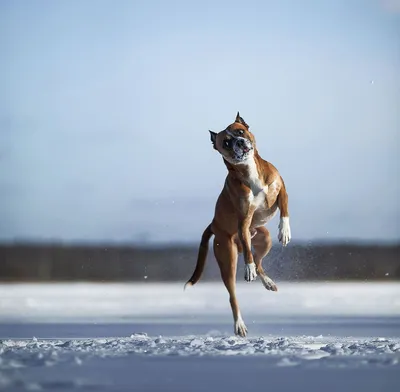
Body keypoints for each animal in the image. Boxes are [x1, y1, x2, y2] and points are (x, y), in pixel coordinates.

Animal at [184, 111, 290, 336]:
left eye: (240, 131)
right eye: (226, 142)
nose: (240, 142)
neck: (249, 170)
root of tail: (213, 224)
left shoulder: (282, 190)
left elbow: (285, 211)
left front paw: (285, 232)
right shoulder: (243, 221)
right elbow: (248, 257)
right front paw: (247, 269)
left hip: (263, 238)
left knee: (259, 262)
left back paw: (268, 282)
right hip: (228, 256)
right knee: (233, 293)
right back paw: (239, 324)